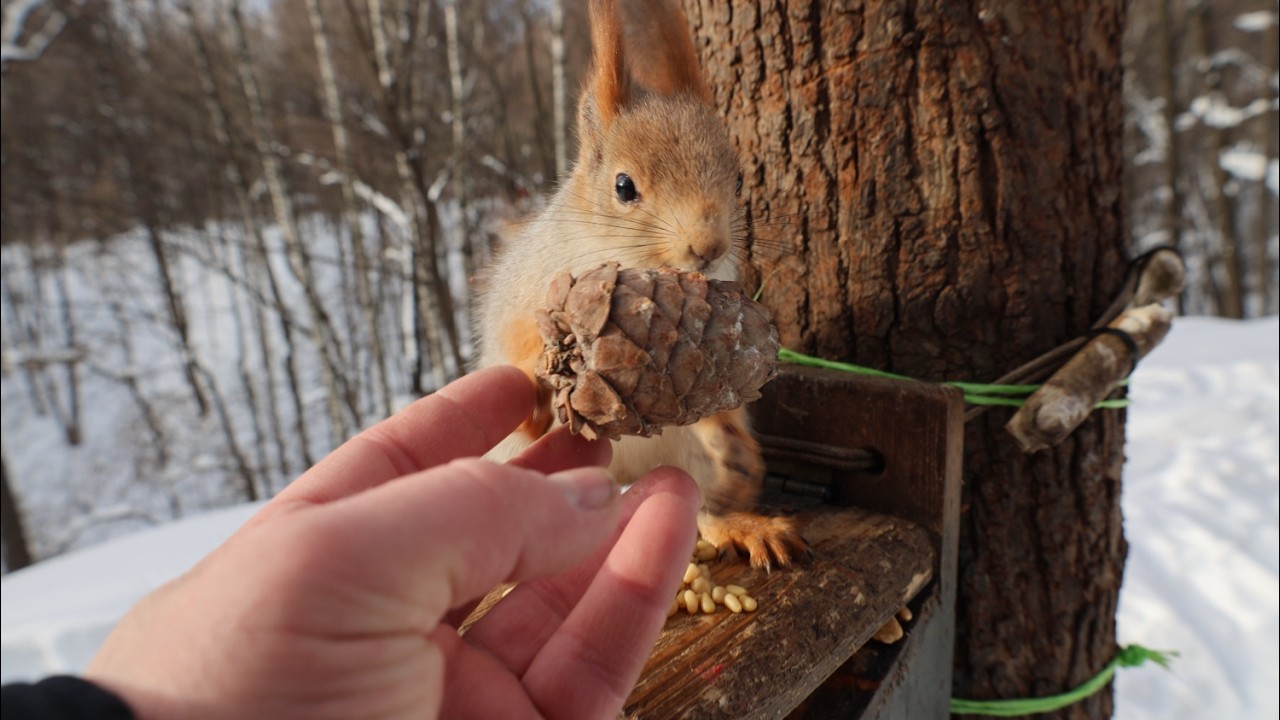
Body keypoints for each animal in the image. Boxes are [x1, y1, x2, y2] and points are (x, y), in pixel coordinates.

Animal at [476, 0, 804, 570]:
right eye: (623, 187)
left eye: (740, 179)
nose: (708, 246)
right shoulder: (523, 293)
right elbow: (515, 348)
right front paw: (540, 383)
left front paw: (735, 444)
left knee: (702, 508)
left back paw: (745, 523)